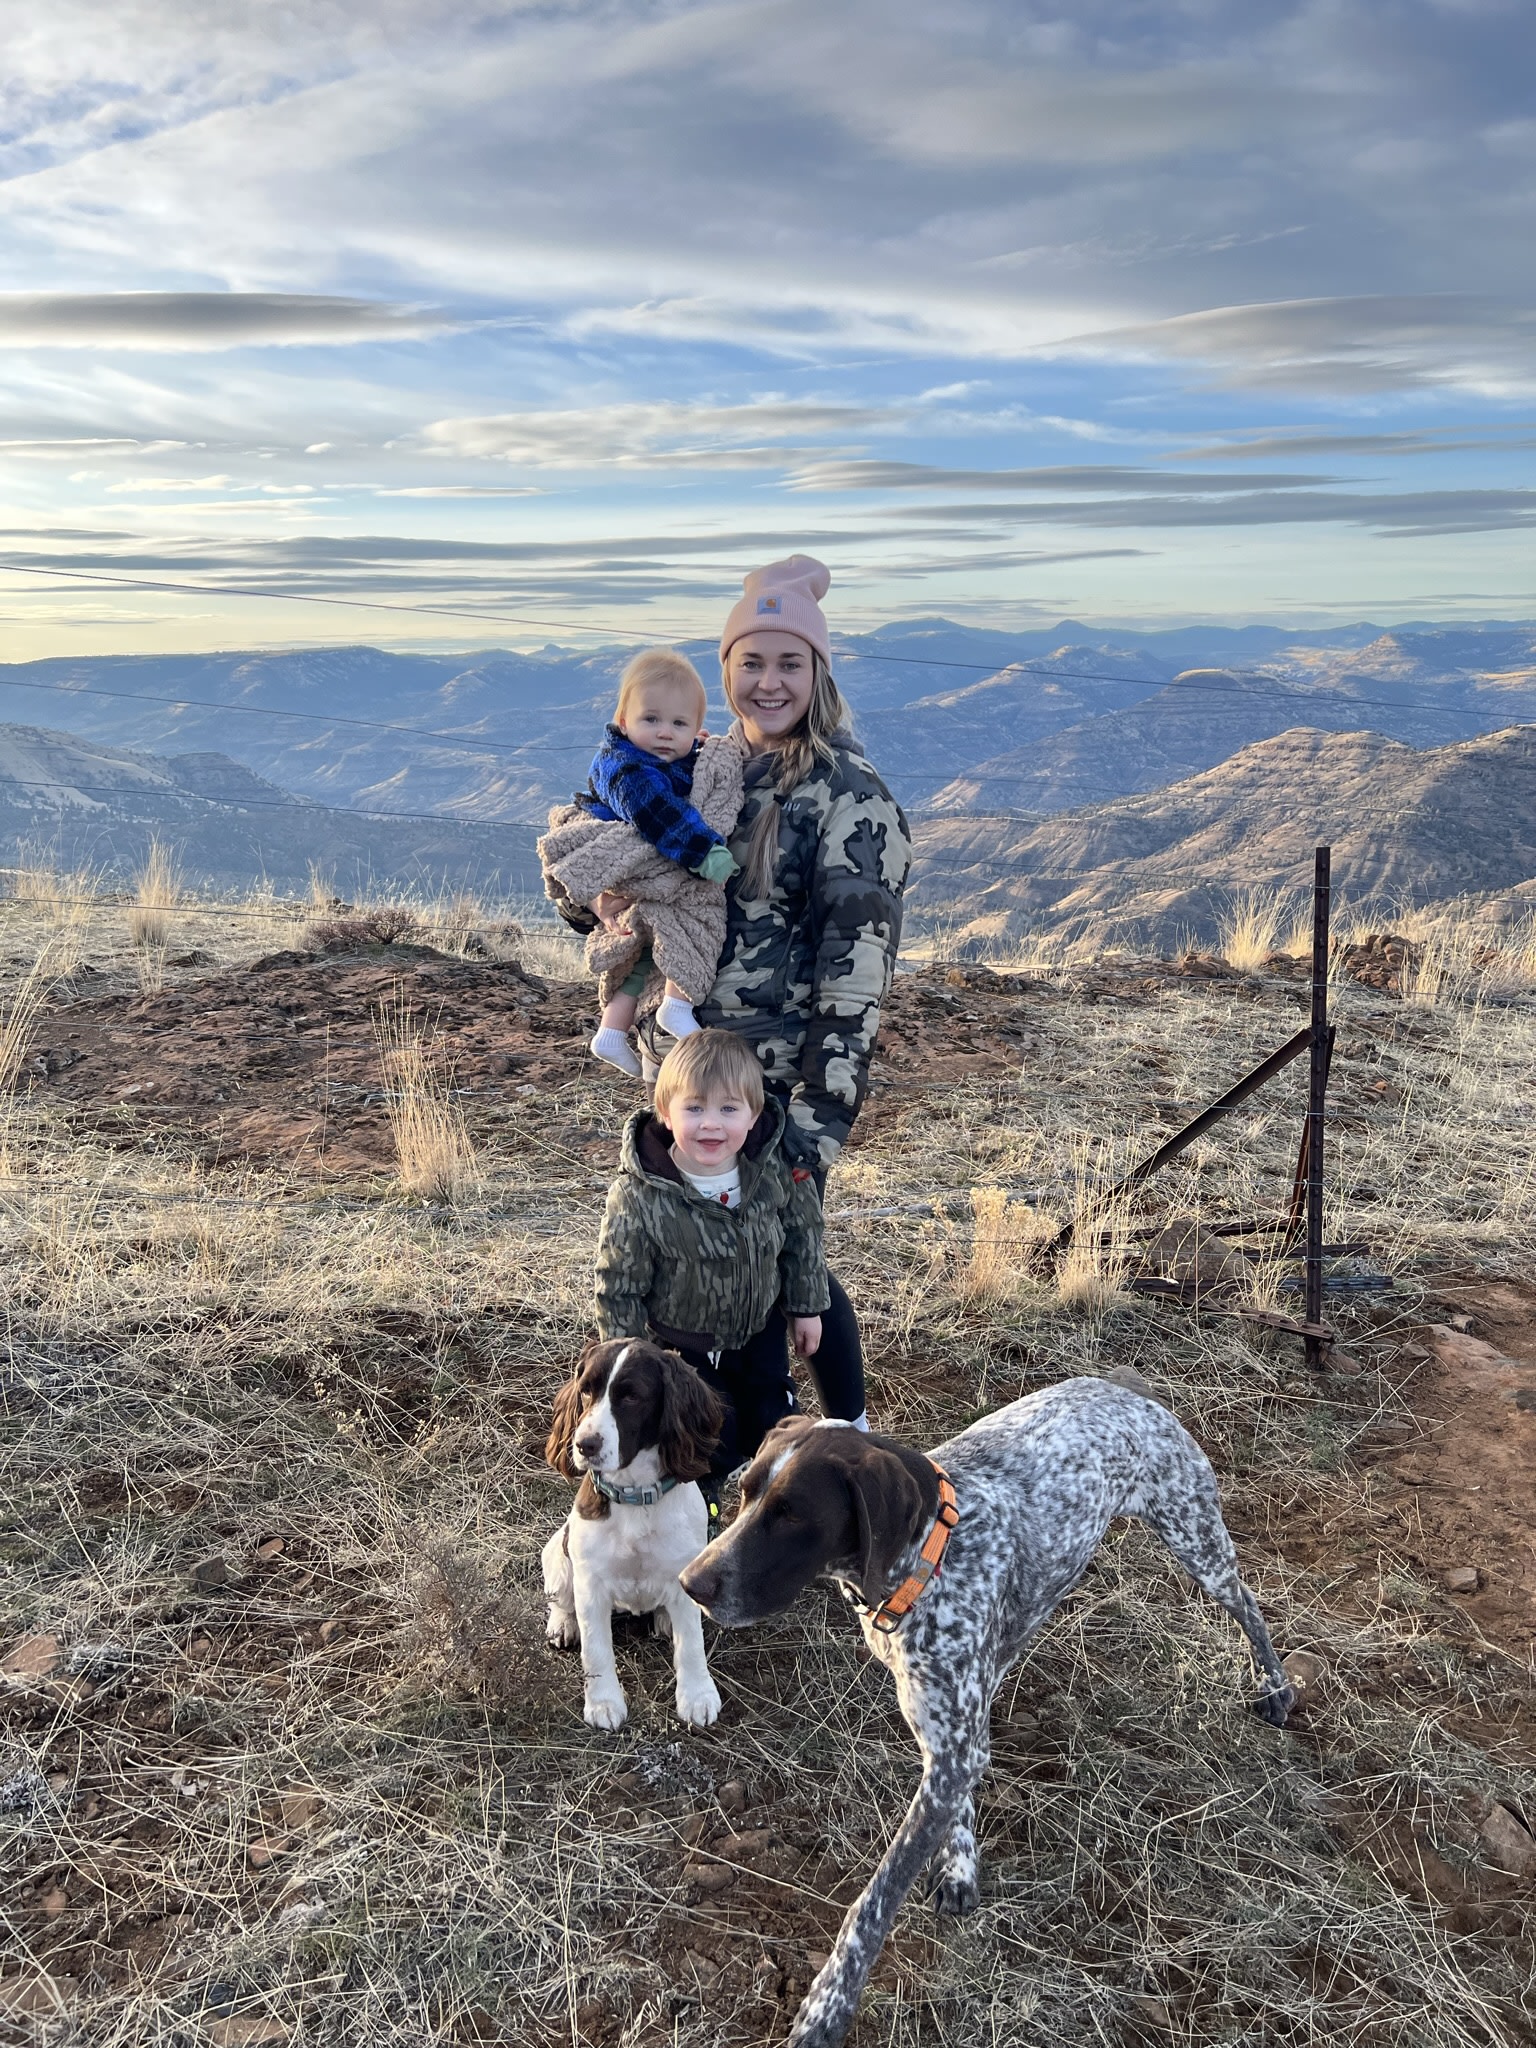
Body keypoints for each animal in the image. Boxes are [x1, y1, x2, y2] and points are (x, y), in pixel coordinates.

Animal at [543, 1338, 725, 1731]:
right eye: (586, 1391)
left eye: (631, 1397)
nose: (584, 1445)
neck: (635, 1495)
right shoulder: (591, 1584)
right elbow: (596, 1648)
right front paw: (603, 1703)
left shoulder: (686, 1570)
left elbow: (692, 1644)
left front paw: (698, 1695)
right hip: (558, 1556)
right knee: (561, 1600)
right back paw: (563, 1624)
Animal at [680, 1378, 1293, 2048]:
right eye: (743, 1493)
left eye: (792, 1514)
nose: (689, 1582)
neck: (928, 1560)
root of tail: (1123, 1384)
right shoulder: (948, 1738)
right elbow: (958, 1801)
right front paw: (960, 1864)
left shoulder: (954, 1747)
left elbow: (873, 1903)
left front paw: (827, 2006)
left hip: (1196, 1538)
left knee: (1248, 1605)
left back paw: (1275, 1684)